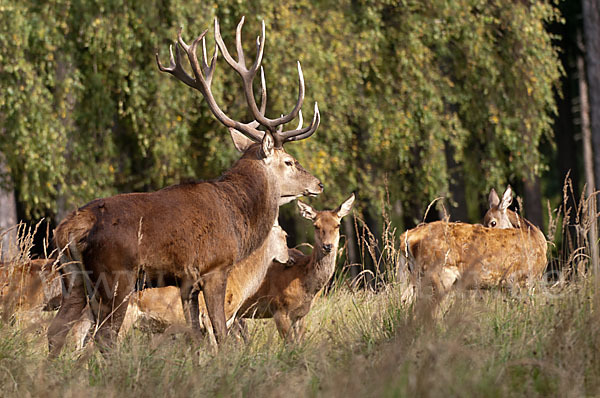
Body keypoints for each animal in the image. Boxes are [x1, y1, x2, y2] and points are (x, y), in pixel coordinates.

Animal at [48, 16, 324, 358]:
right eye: (289, 161)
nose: (318, 183)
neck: (238, 218)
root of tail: (71, 226)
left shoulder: (186, 281)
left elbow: (195, 335)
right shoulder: (215, 268)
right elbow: (220, 332)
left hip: (71, 276)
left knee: (56, 331)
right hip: (116, 275)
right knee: (104, 336)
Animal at [400, 188, 548, 300]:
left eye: (492, 222)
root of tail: (408, 238)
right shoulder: (525, 279)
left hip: (416, 275)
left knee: (405, 300)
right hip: (441, 275)